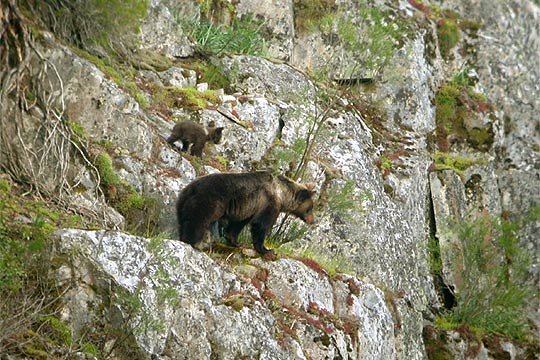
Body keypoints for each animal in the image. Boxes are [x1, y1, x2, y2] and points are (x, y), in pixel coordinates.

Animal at [174, 171, 316, 253]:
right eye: (310, 208)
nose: (312, 221)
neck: (282, 195)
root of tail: (191, 188)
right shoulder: (269, 203)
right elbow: (261, 225)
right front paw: (265, 249)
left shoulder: (249, 208)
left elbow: (237, 225)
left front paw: (235, 242)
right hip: (209, 201)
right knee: (197, 220)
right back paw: (193, 242)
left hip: (182, 201)